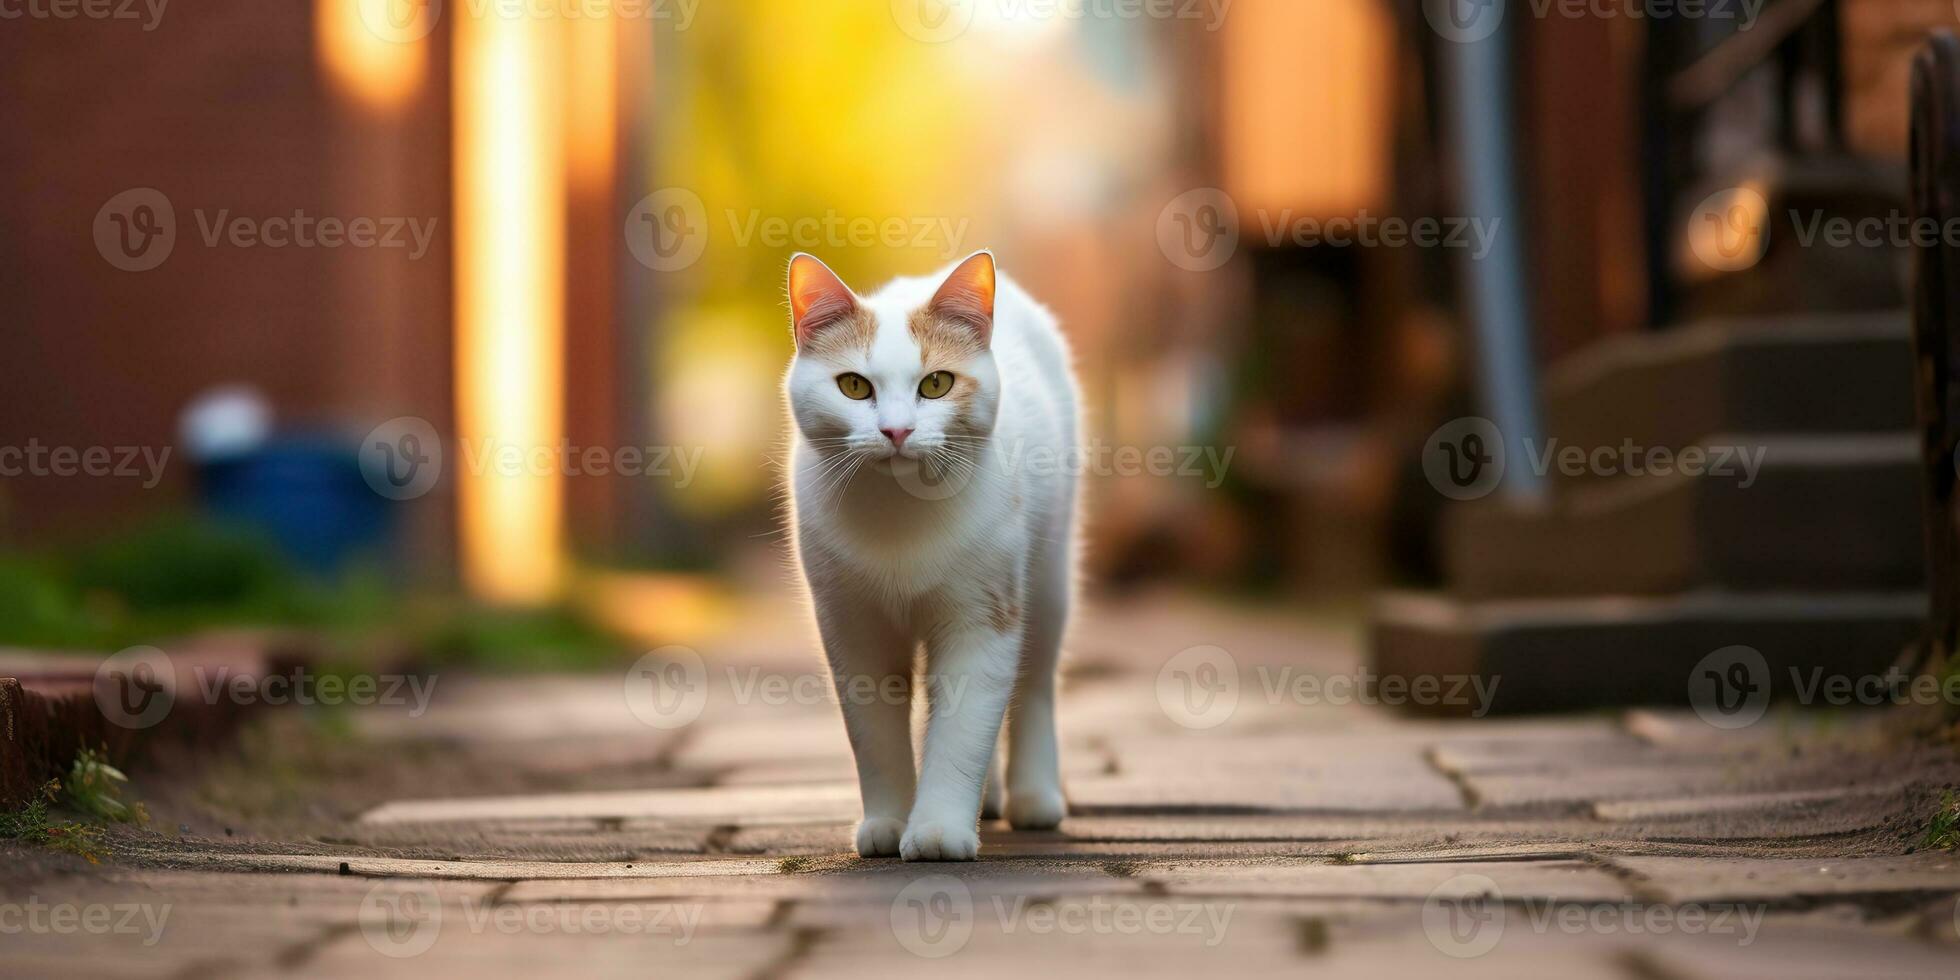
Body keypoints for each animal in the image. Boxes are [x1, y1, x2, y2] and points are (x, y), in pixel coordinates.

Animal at [784, 250, 1089, 858]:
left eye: (937, 383)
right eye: (853, 386)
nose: (897, 431)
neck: (901, 517)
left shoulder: (983, 621)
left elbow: (963, 732)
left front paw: (940, 830)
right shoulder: (853, 629)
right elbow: (874, 736)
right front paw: (889, 821)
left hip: (1048, 581)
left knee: (1036, 682)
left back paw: (1033, 797)